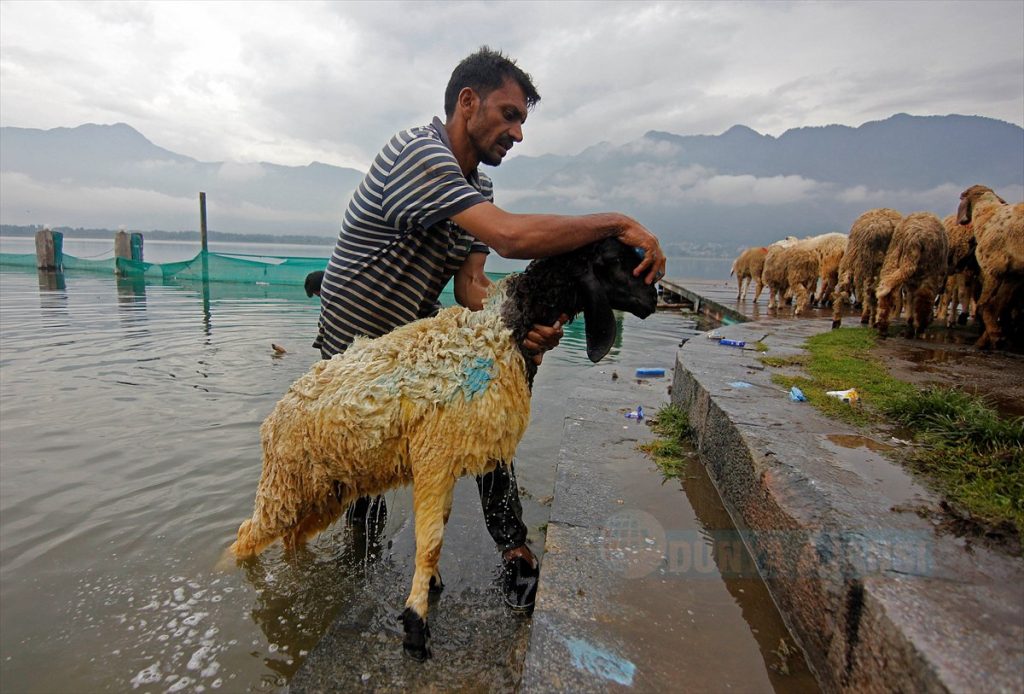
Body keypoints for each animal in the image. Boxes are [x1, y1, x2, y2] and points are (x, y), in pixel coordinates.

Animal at [958, 185, 1024, 350]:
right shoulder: (1012, 275)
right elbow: (999, 305)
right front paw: (993, 338)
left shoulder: (992, 270)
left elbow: (985, 305)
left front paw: (994, 336)